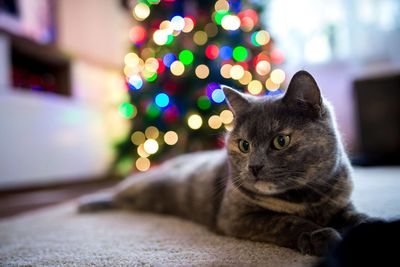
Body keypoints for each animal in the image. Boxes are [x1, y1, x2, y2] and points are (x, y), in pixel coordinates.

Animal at [79, 70, 372, 256]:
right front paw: (321, 236)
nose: (254, 167)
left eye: (281, 141)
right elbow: (285, 221)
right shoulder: (237, 216)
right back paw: (89, 203)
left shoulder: (341, 202)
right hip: (146, 186)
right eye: (244, 145)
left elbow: (357, 217)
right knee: (119, 192)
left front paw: (370, 226)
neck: (304, 198)